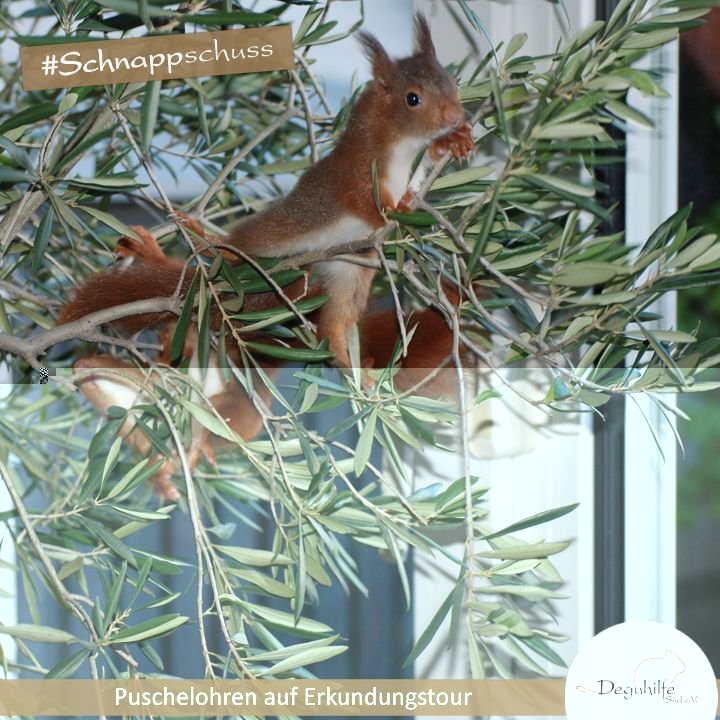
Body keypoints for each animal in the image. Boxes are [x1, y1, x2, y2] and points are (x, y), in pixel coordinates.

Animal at [60, 14, 475, 497]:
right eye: (413, 98)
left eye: (450, 82)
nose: (456, 115)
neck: (393, 151)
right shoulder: (353, 181)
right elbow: (378, 208)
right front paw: (407, 200)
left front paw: (453, 143)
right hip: (250, 263)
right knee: (213, 266)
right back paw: (180, 251)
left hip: (344, 276)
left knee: (334, 332)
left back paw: (357, 371)